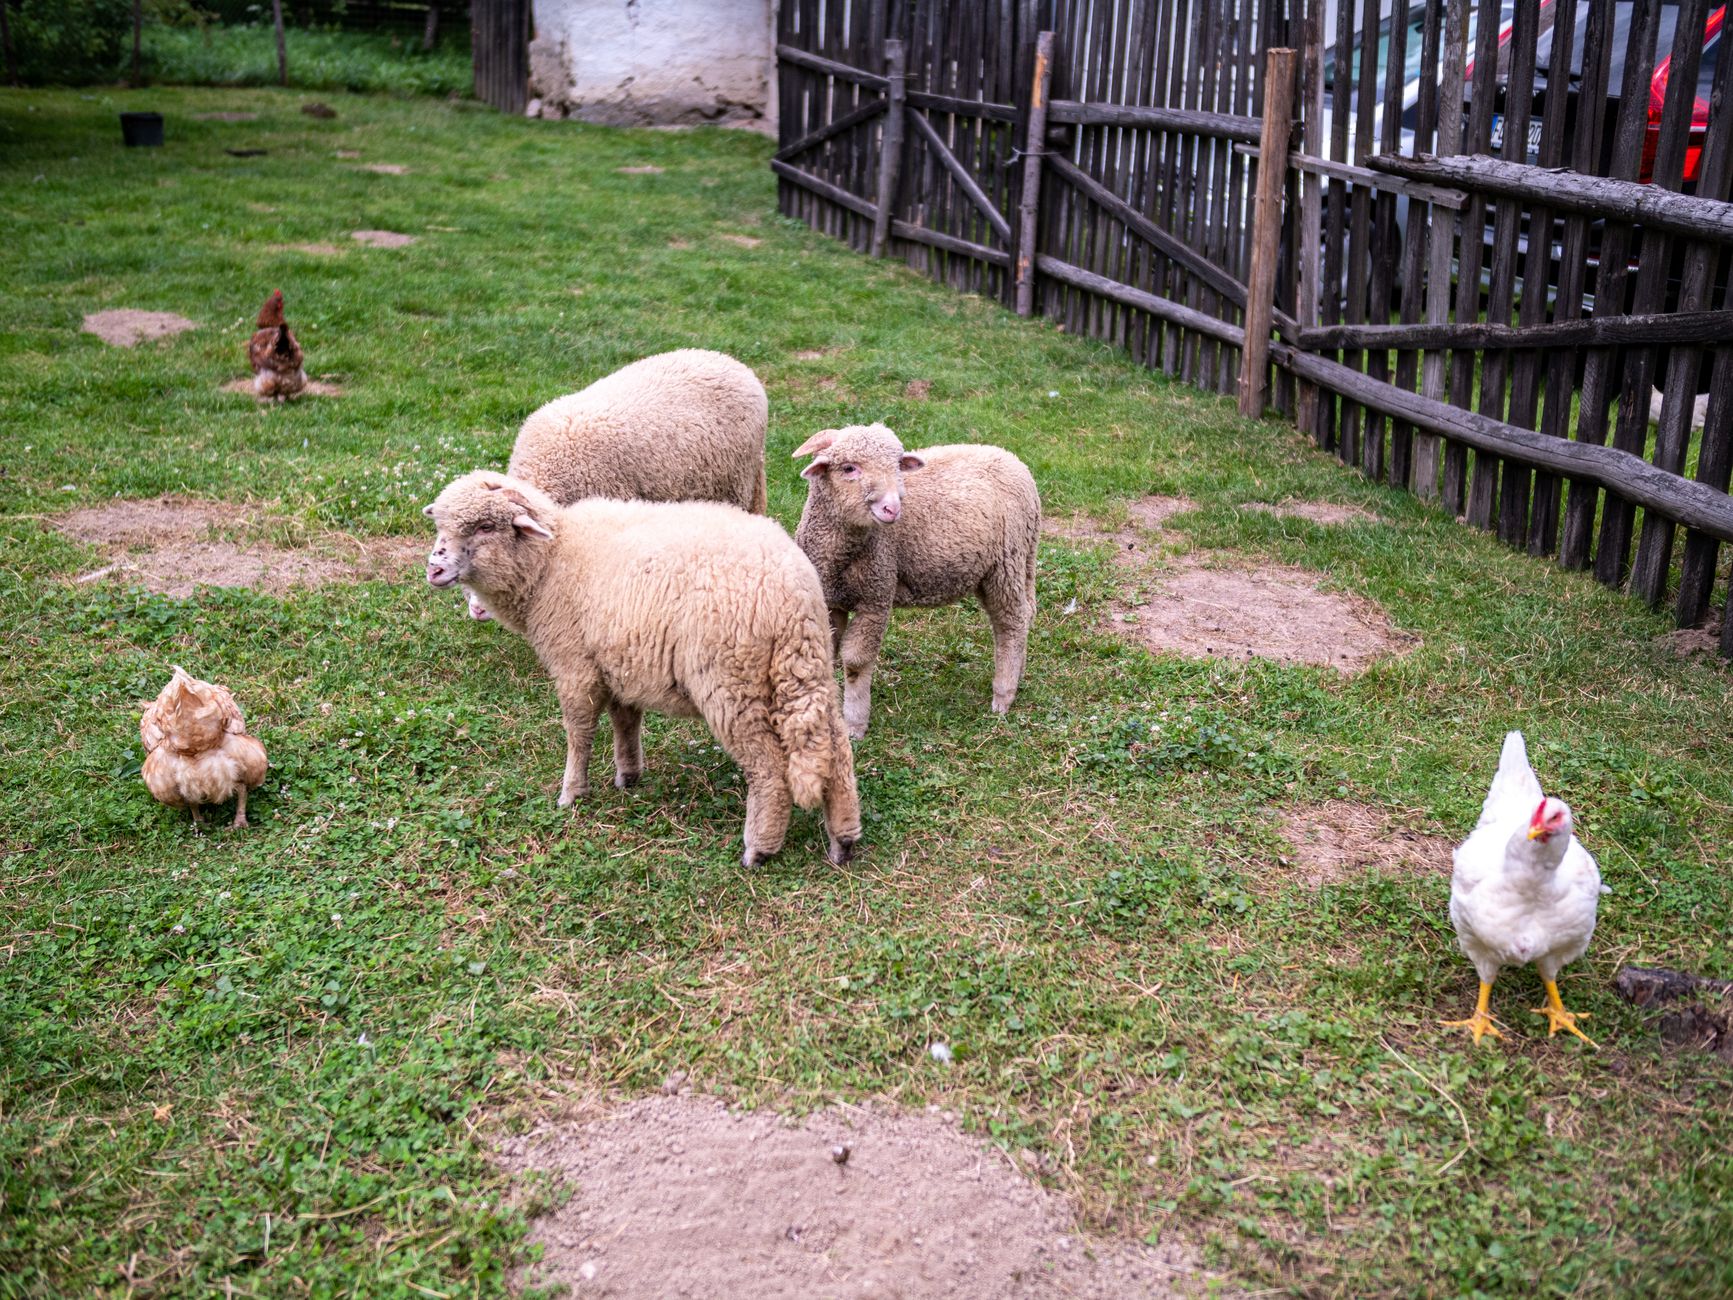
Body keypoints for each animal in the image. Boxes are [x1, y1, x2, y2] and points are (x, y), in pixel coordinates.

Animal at [424, 471, 861, 867]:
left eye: (485, 526)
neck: (550, 561)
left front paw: (571, 792)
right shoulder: (619, 664)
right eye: (441, 526)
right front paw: (628, 775)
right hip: (808, 666)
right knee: (837, 751)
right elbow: (625, 720)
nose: (434, 568)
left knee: (768, 768)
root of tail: (793, 593)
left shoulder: (576, 665)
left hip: (733, 682)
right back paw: (842, 841)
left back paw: (759, 849)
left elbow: (579, 732)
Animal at [792, 423, 1040, 739]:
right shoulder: (829, 600)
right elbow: (827, 654)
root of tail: (1018, 464)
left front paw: (855, 724)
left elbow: (857, 663)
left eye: (897, 465)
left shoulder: (876, 596)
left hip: (1006, 563)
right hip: (1013, 563)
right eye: (849, 468)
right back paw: (1019, 674)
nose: (892, 508)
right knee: (1024, 613)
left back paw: (1003, 695)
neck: (842, 553)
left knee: (1011, 623)